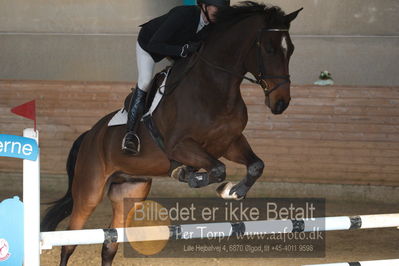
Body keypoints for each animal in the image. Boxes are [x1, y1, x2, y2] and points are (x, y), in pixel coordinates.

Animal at [41, 2, 304, 266]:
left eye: (291, 50)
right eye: (269, 49)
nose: (281, 103)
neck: (214, 88)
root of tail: (90, 135)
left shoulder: (230, 143)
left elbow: (255, 165)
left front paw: (232, 191)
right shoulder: (181, 146)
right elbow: (217, 169)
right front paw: (194, 177)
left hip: (130, 190)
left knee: (109, 244)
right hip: (90, 189)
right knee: (70, 241)